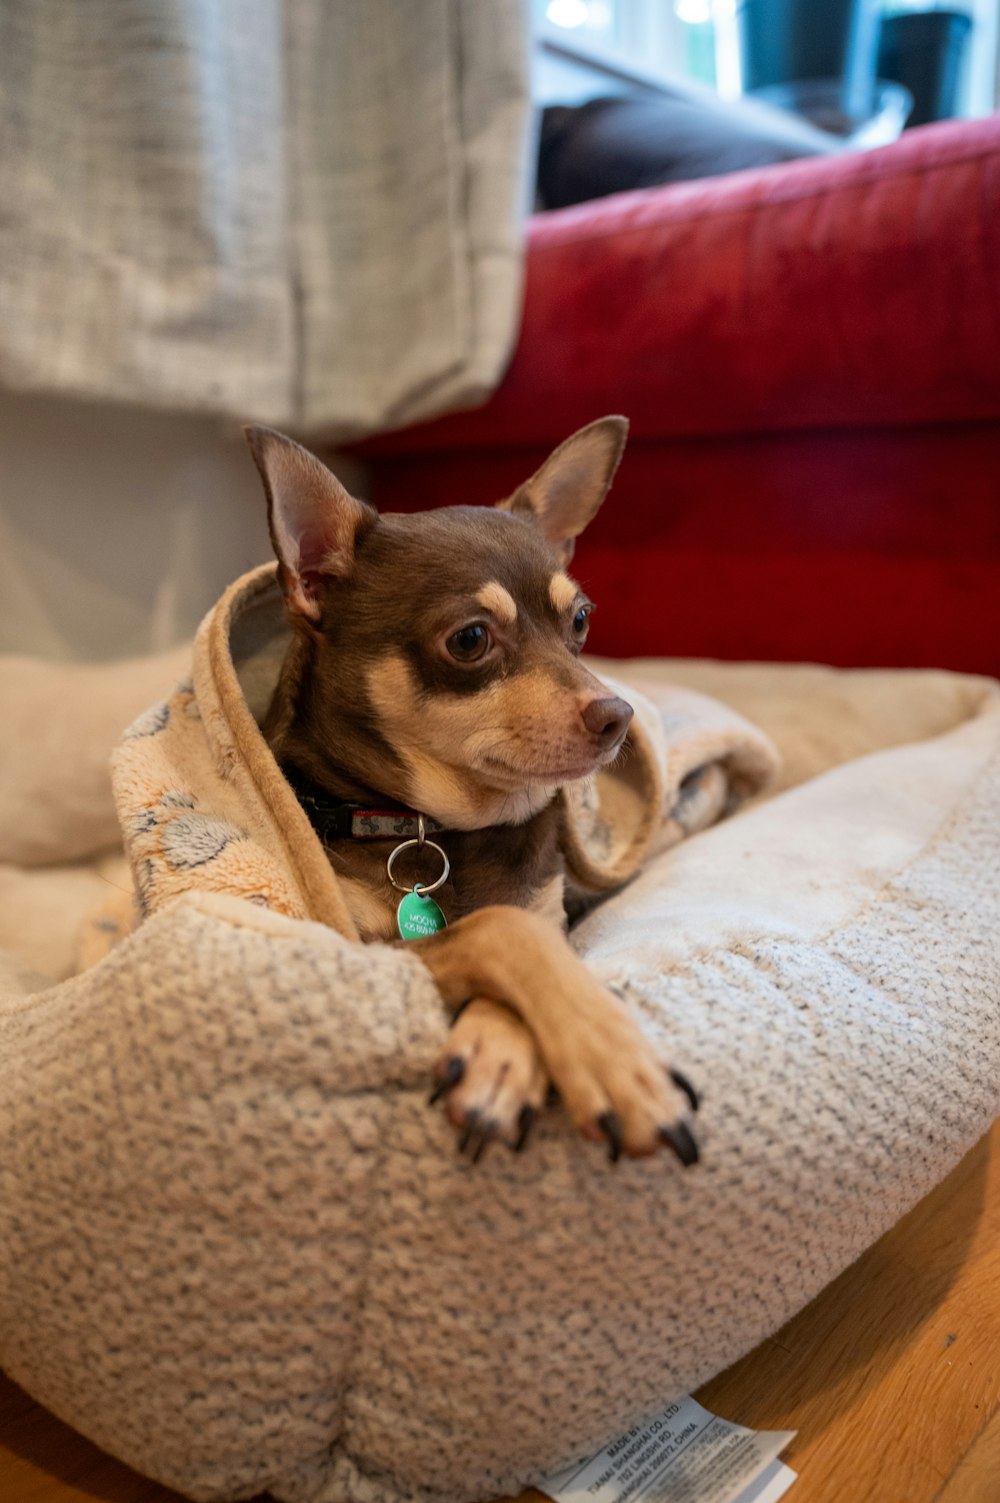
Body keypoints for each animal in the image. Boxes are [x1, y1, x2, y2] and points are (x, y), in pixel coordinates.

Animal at [242, 417, 697, 1166]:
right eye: (470, 639)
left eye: (580, 621)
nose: (619, 716)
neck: (440, 827)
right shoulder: (359, 948)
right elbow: (498, 928)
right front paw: (616, 1061)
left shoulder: (550, 913)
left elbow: (519, 925)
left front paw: (504, 1054)